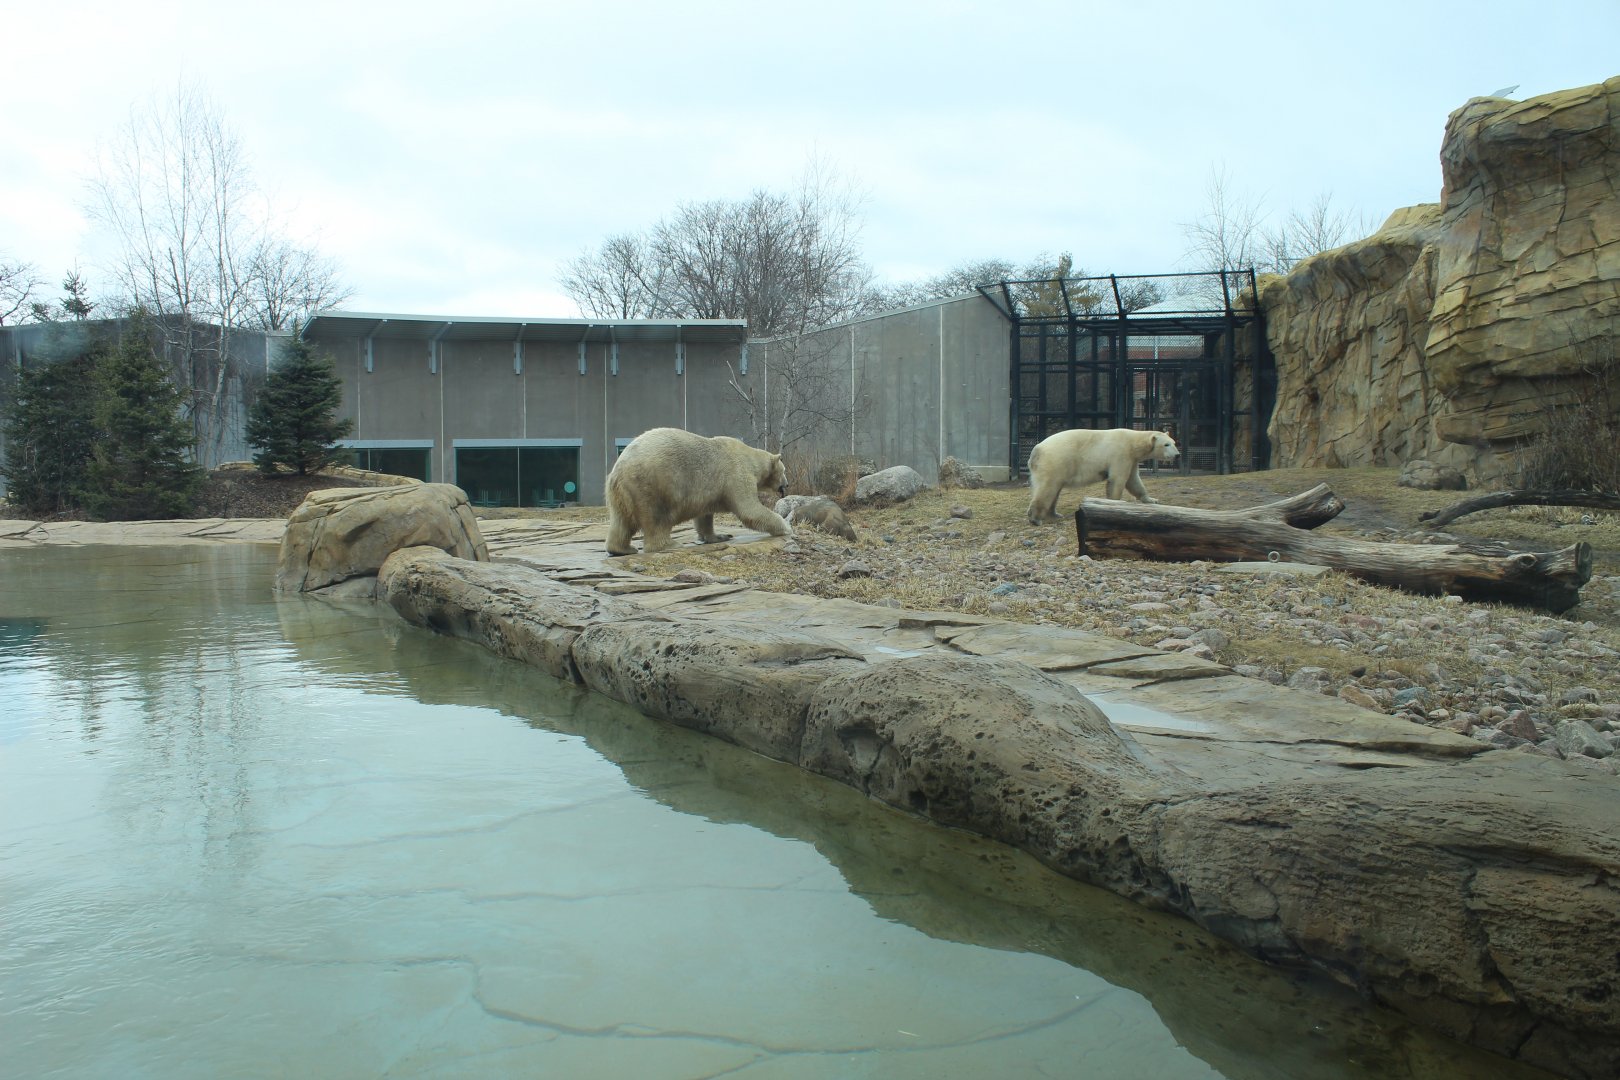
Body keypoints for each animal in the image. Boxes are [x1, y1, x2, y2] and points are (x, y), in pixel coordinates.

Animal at [605, 427, 791, 555]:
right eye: (784, 470)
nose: (787, 484)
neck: (750, 458)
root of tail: (618, 470)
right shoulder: (737, 473)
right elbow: (749, 509)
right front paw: (786, 527)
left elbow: (704, 517)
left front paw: (719, 536)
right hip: (651, 484)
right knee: (656, 518)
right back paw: (670, 544)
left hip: (623, 492)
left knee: (621, 521)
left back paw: (622, 549)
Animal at [1025, 427, 1180, 525]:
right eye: (1166, 444)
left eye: (1174, 442)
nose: (1178, 455)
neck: (1133, 442)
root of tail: (1036, 451)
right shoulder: (1121, 454)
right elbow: (1118, 479)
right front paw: (1113, 505)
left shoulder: (1132, 459)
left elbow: (1134, 480)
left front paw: (1152, 500)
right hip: (1056, 461)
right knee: (1048, 488)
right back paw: (1035, 519)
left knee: (1053, 490)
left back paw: (1054, 514)